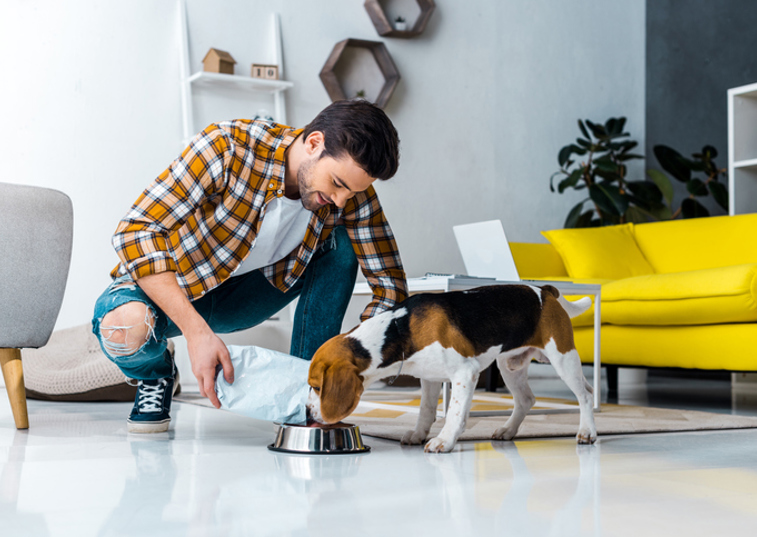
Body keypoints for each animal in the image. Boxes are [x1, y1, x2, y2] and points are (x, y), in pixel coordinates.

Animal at [304, 284, 592, 452]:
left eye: (316, 387)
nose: (307, 412)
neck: (400, 329)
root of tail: (544, 290)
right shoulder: (429, 377)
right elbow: (425, 411)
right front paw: (418, 434)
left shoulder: (466, 373)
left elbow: (454, 413)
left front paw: (444, 440)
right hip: (509, 366)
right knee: (526, 399)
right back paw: (508, 430)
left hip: (563, 358)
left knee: (586, 395)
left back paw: (587, 432)